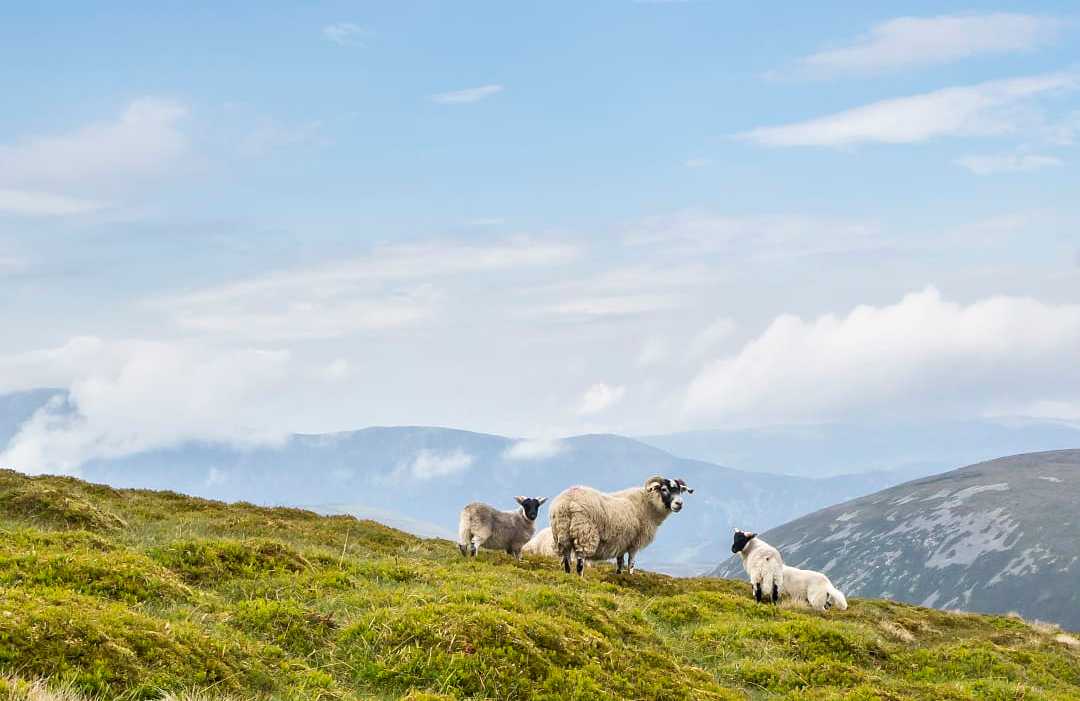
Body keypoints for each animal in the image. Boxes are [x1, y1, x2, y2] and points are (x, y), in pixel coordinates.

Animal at [549, 476, 694, 576]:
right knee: (580, 563)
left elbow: (620, 563)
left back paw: (568, 576)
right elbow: (631, 563)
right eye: (664, 489)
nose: (679, 504)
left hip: (562, 534)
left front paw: (620, 576)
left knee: (566, 560)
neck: (648, 504)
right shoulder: (635, 542)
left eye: (680, 491)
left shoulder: (621, 542)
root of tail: (566, 502)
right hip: (584, 533)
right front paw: (631, 577)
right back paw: (581, 579)